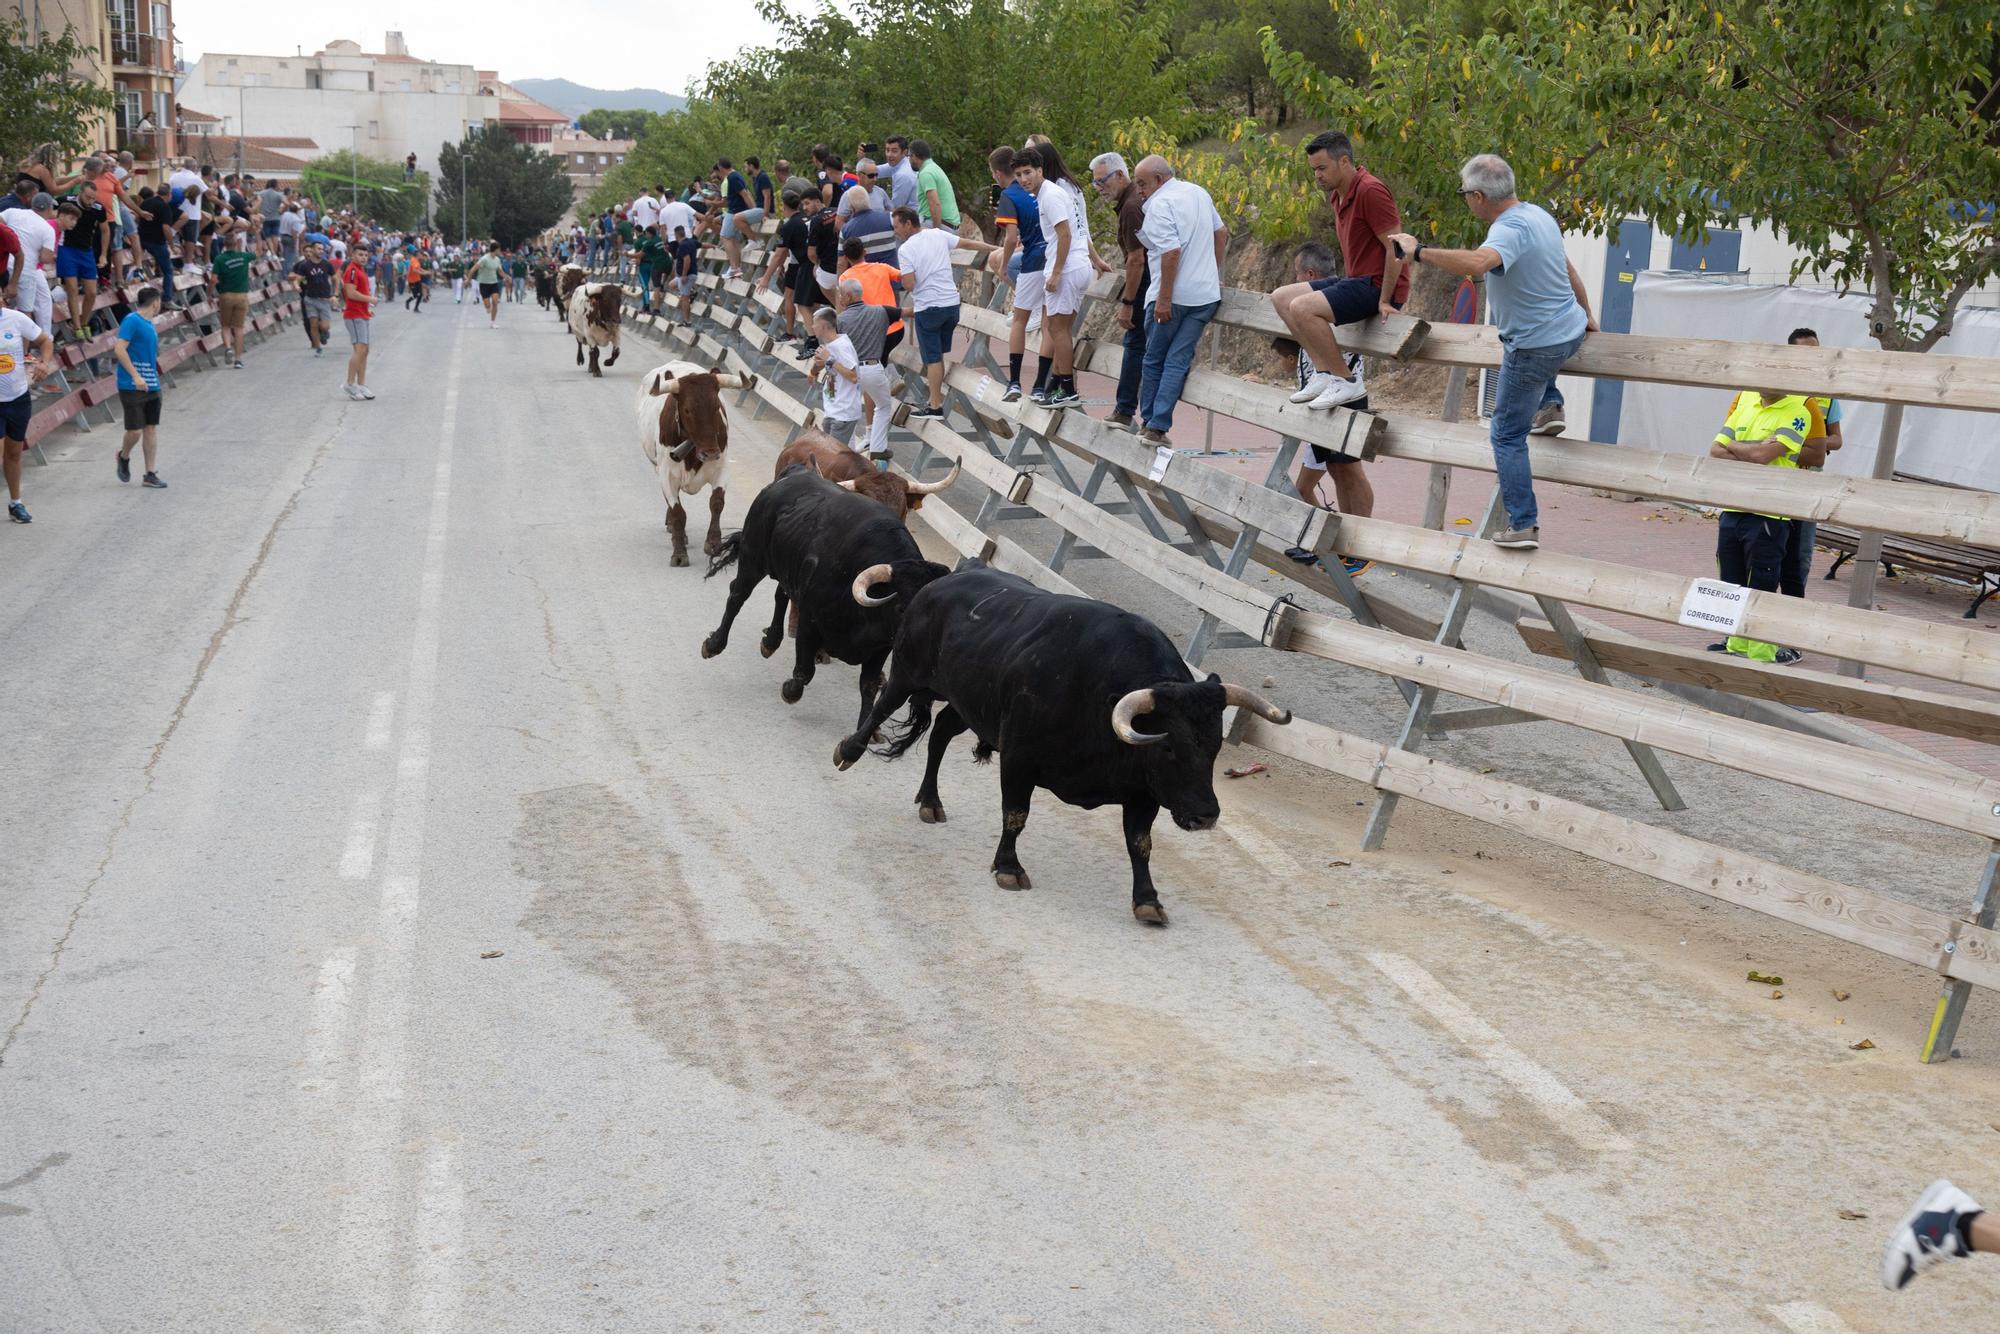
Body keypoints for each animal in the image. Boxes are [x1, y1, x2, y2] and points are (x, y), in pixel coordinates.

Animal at [636, 362, 752, 568]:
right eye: (688, 410)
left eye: (716, 407)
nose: (710, 452)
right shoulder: (666, 476)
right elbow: (678, 513)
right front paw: (679, 552)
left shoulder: (721, 469)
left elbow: (716, 503)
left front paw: (713, 543)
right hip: (656, 466)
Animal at [704, 468, 952, 732]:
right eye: (902, 608)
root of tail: (794, 473)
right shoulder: (809, 622)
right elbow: (805, 671)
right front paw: (790, 691)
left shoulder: (881, 647)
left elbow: (869, 686)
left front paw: (867, 729)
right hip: (753, 557)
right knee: (737, 595)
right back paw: (714, 644)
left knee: (781, 595)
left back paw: (770, 641)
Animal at [832, 568, 1288, 928]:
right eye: (1168, 748)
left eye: (1213, 747)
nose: (1205, 816)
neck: (1099, 697)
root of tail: (941, 582)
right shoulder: (1018, 761)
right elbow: (1015, 815)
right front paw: (1008, 868)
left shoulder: (1143, 792)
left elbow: (1140, 843)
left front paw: (1148, 901)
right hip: (909, 671)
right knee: (883, 705)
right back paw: (849, 752)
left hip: (969, 704)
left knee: (941, 732)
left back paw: (930, 801)